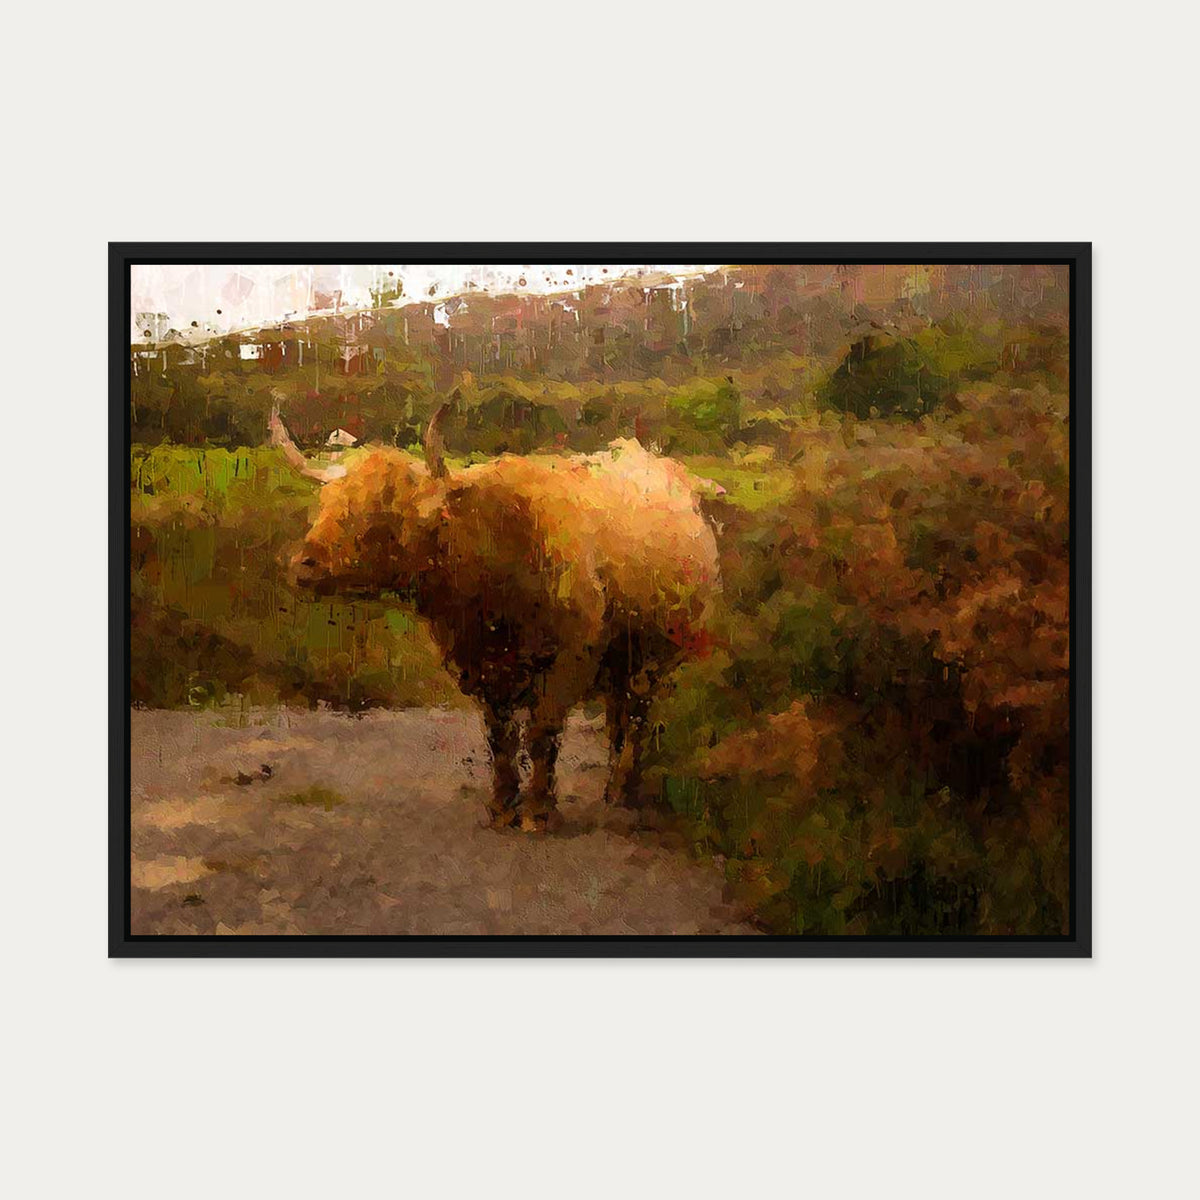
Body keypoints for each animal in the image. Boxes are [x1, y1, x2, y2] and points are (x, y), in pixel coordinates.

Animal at [273, 406, 721, 832]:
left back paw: (622, 789)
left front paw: (538, 812)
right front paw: (503, 807)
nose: (304, 563)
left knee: (637, 715)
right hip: (622, 658)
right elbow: (499, 737)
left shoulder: (566, 664)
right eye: (326, 503)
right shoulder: (480, 668)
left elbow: (541, 735)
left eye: (383, 514)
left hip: (655, 659)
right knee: (618, 716)